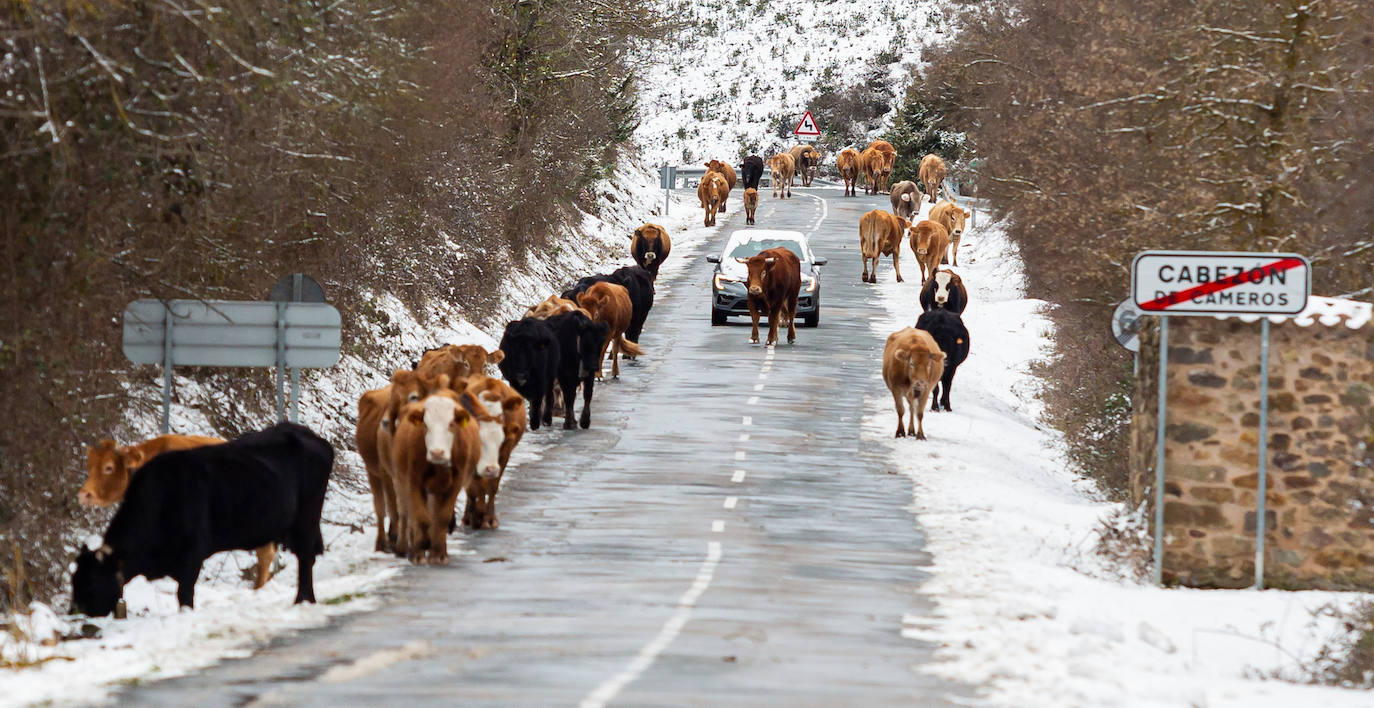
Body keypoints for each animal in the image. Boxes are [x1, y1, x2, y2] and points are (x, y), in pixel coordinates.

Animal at [395, 382, 480, 566]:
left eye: (451, 424)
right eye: (426, 425)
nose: (437, 452)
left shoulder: (455, 482)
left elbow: (441, 518)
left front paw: (439, 555)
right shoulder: (413, 481)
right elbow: (420, 517)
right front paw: (418, 552)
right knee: (408, 514)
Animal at [461, 376, 524, 533]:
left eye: (501, 415)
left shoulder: (504, 453)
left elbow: (492, 486)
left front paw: (489, 519)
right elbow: (476, 486)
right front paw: (477, 517)